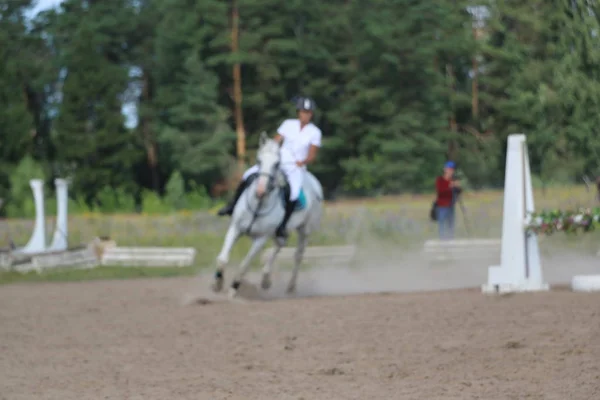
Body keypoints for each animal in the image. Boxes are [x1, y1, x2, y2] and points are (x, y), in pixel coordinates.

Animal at [211, 131, 324, 296]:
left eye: (276, 164)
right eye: (259, 160)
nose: (260, 191)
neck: (258, 204)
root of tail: (313, 181)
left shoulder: (261, 239)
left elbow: (244, 265)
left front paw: (233, 289)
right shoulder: (235, 228)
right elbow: (222, 259)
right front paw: (217, 284)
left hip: (304, 229)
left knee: (298, 255)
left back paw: (290, 287)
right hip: (281, 231)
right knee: (279, 245)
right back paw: (266, 280)